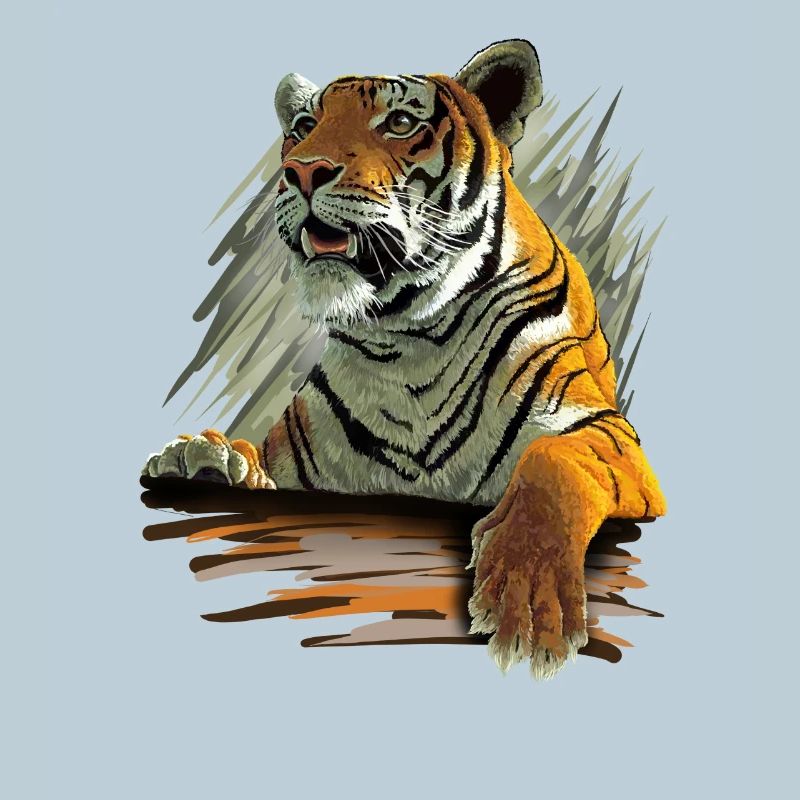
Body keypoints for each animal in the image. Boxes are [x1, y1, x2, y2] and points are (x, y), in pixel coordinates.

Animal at [144, 39, 666, 680]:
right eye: (304, 127)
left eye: (398, 123)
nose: (302, 170)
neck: (407, 342)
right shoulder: (299, 470)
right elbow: (254, 462)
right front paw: (201, 459)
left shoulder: (604, 431)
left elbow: (554, 465)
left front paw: (527, 603)